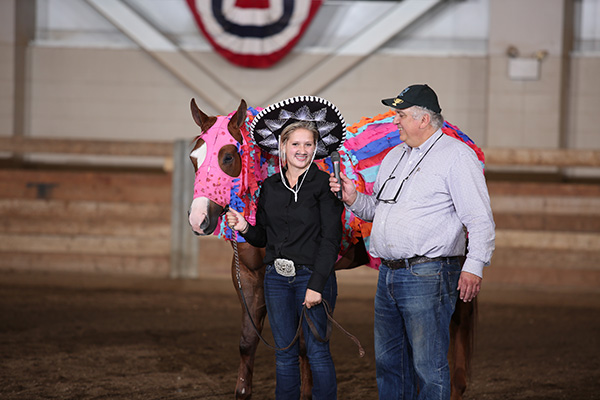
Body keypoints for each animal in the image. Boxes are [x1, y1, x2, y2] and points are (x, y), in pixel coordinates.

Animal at [187, 98, 479, 400]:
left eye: (228, 157)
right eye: (193, 157)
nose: (198, 219)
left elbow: (305, 345)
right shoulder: (249, 276)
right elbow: (248, 341)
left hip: (459, 265)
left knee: (457, 323)